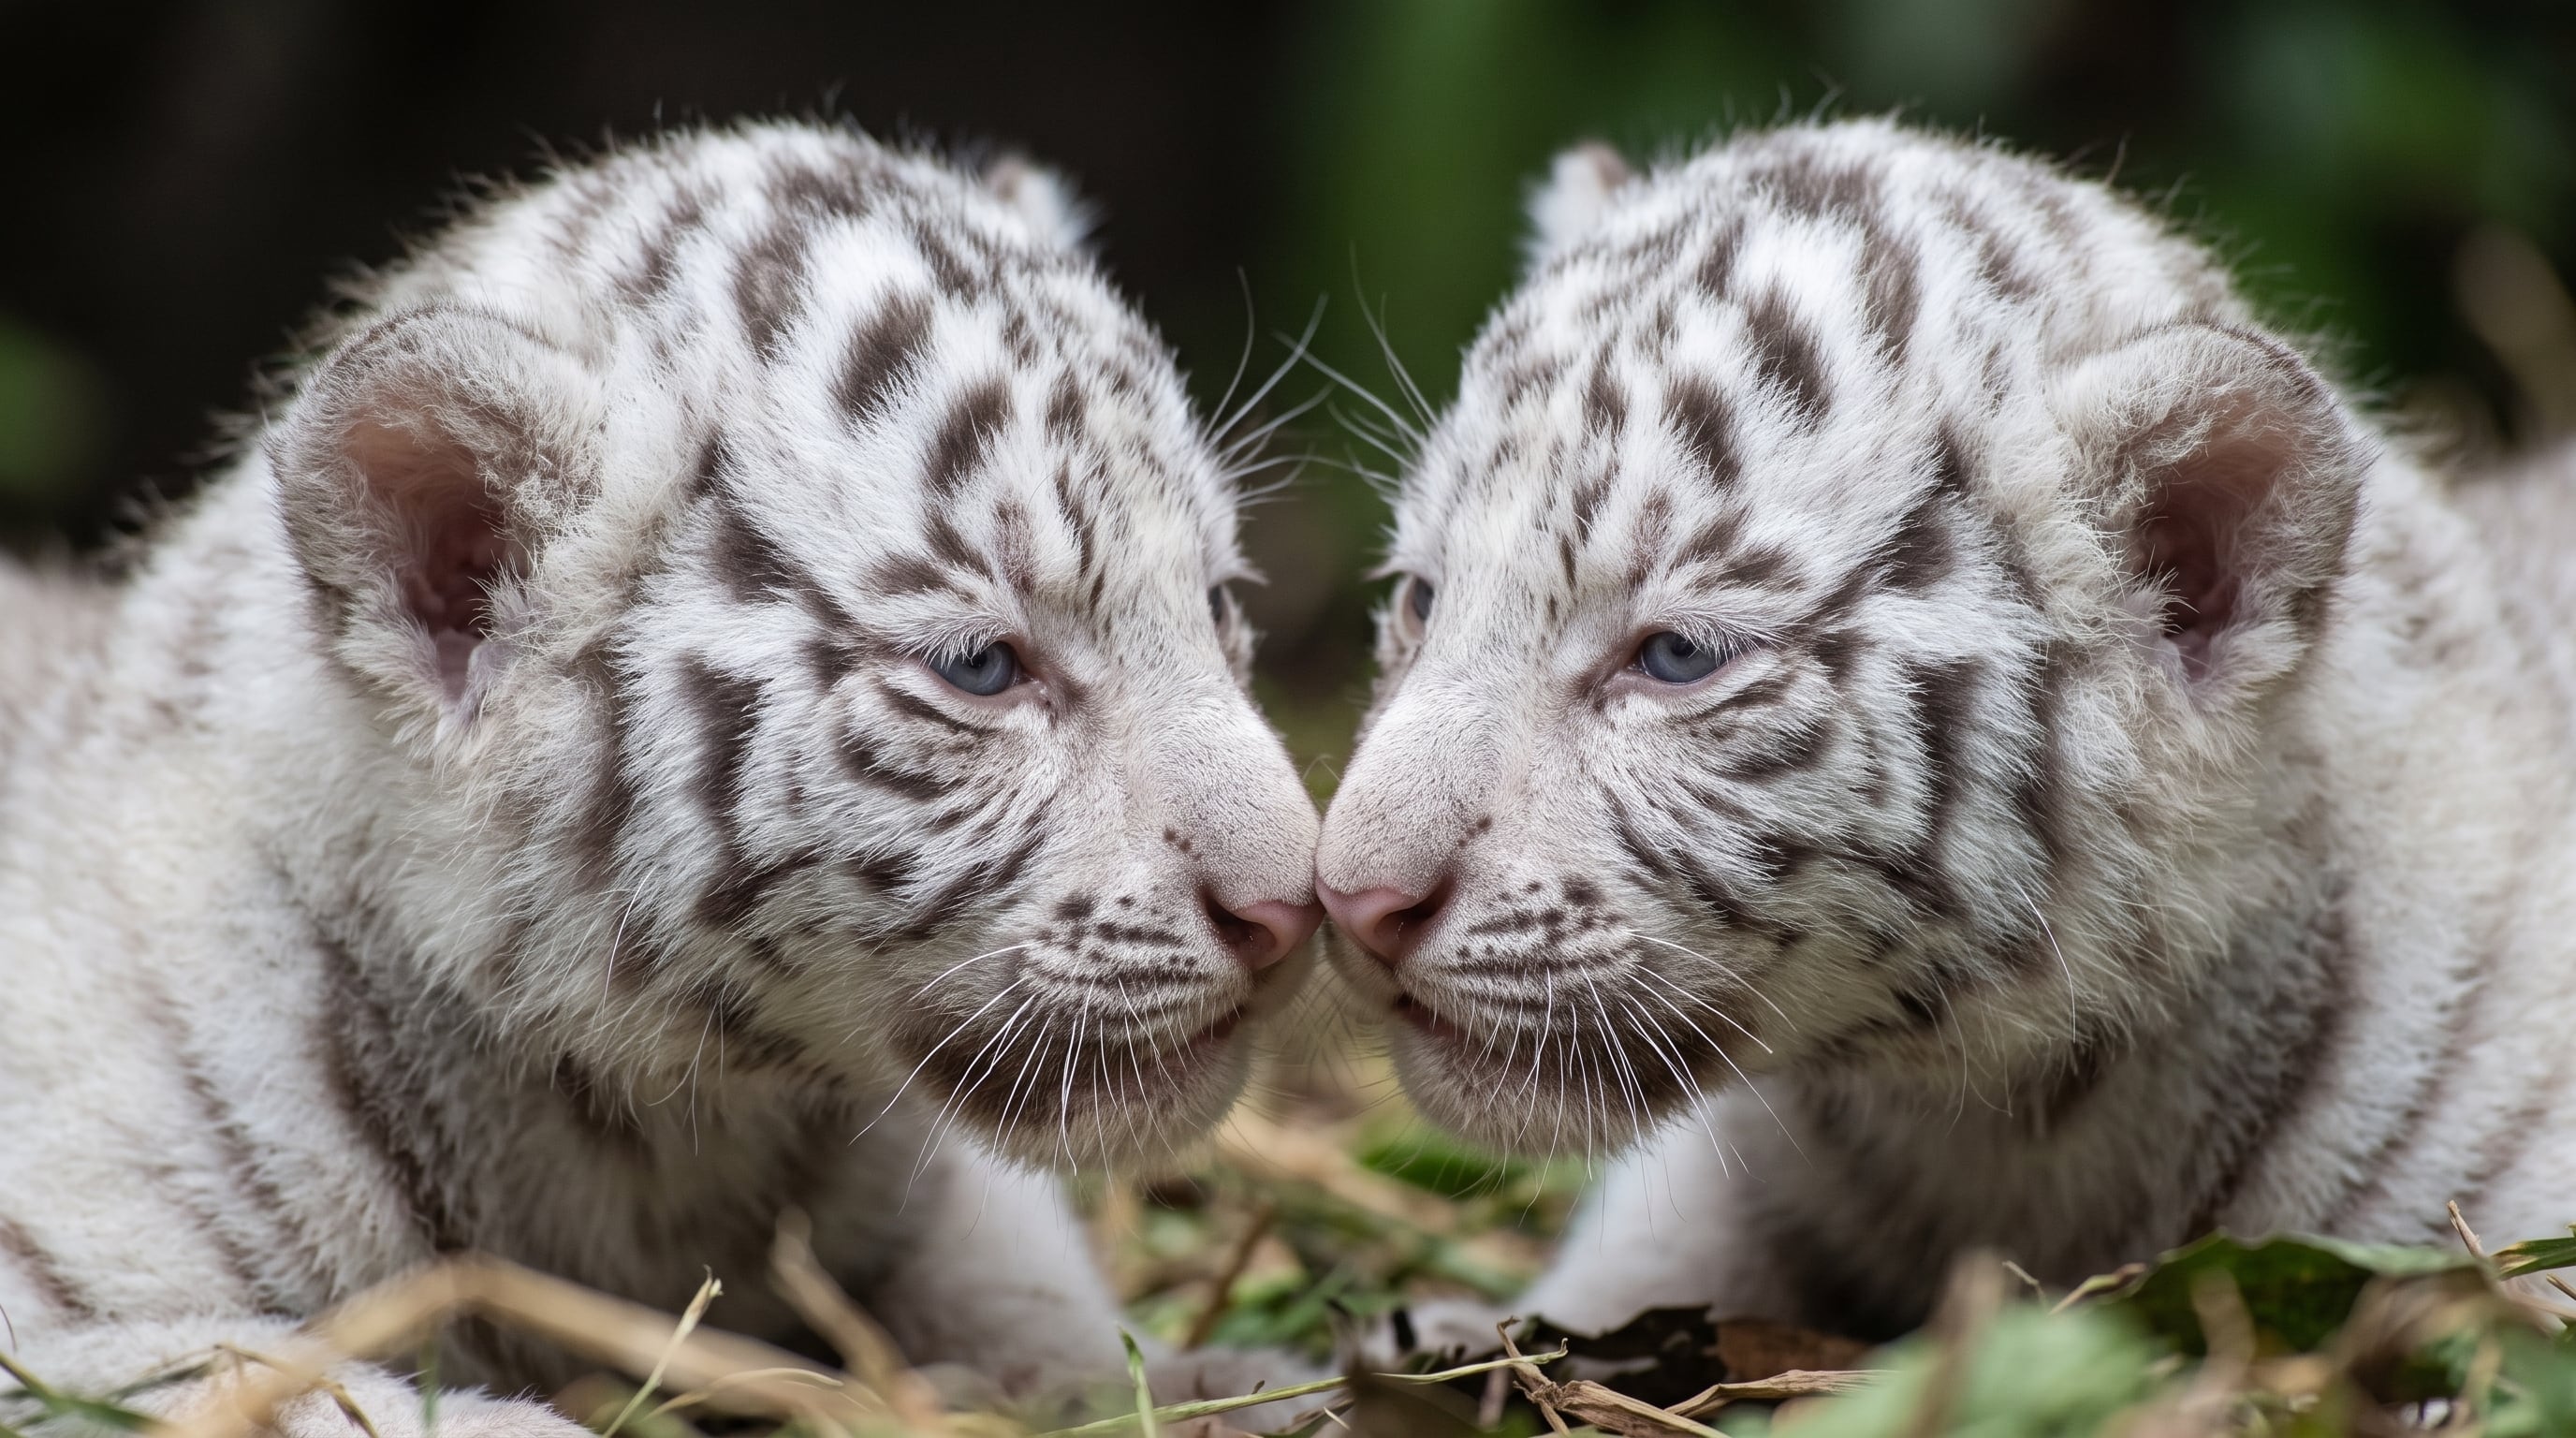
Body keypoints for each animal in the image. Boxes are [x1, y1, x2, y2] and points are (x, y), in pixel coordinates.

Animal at [0, 120, 1324, 1433]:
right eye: (983, 667)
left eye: (1216, 603)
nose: (1290, 909)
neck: (662, 1145)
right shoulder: (60, 1330)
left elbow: (1025, 1288)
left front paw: (1230, 1385)